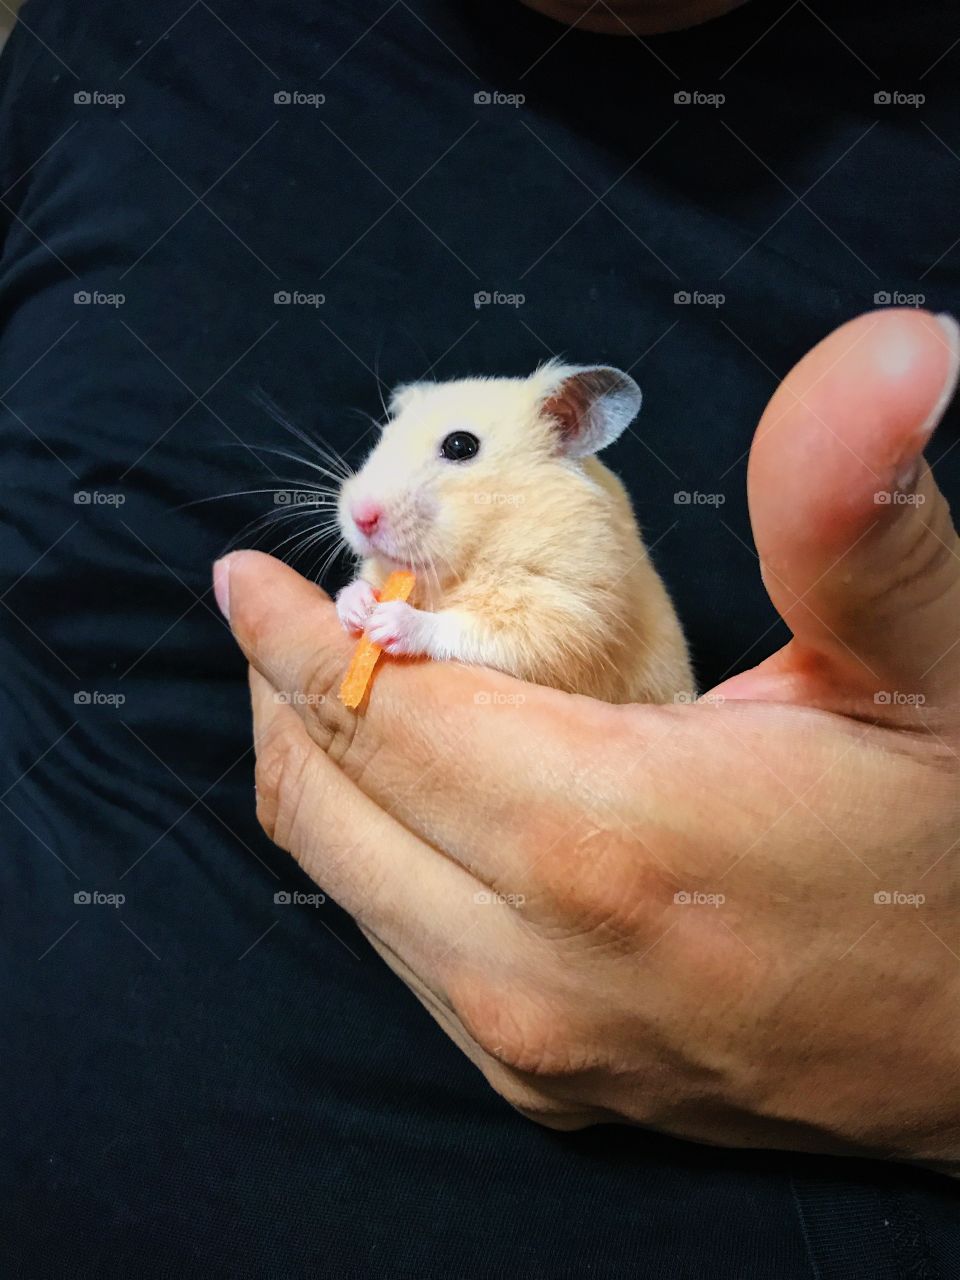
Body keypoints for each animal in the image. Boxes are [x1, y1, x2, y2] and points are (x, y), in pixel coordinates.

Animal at [335, 361, 693, 704]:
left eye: (460, 445)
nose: (360, 517)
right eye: (385, 437)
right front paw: (356, 607)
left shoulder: (570, 619)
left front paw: (386, 621)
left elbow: (473, 631)